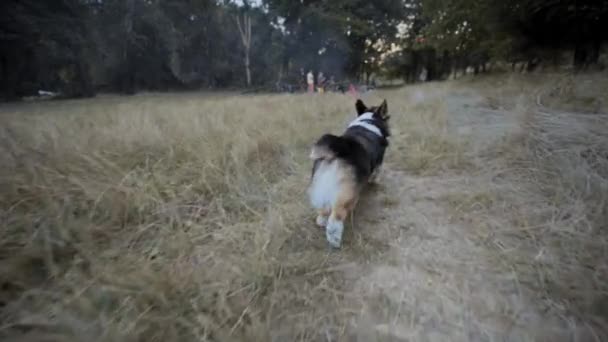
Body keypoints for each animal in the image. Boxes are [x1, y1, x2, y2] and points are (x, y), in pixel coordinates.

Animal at [308, 99, 390, 248]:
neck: (369, 120)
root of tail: (338, 148)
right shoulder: (379, 161)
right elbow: (377, 172)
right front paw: (375, 182)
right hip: (346, 195)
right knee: (336, 217)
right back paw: (334, 240)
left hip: (321, 184)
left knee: (323, 211)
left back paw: (321, 221)